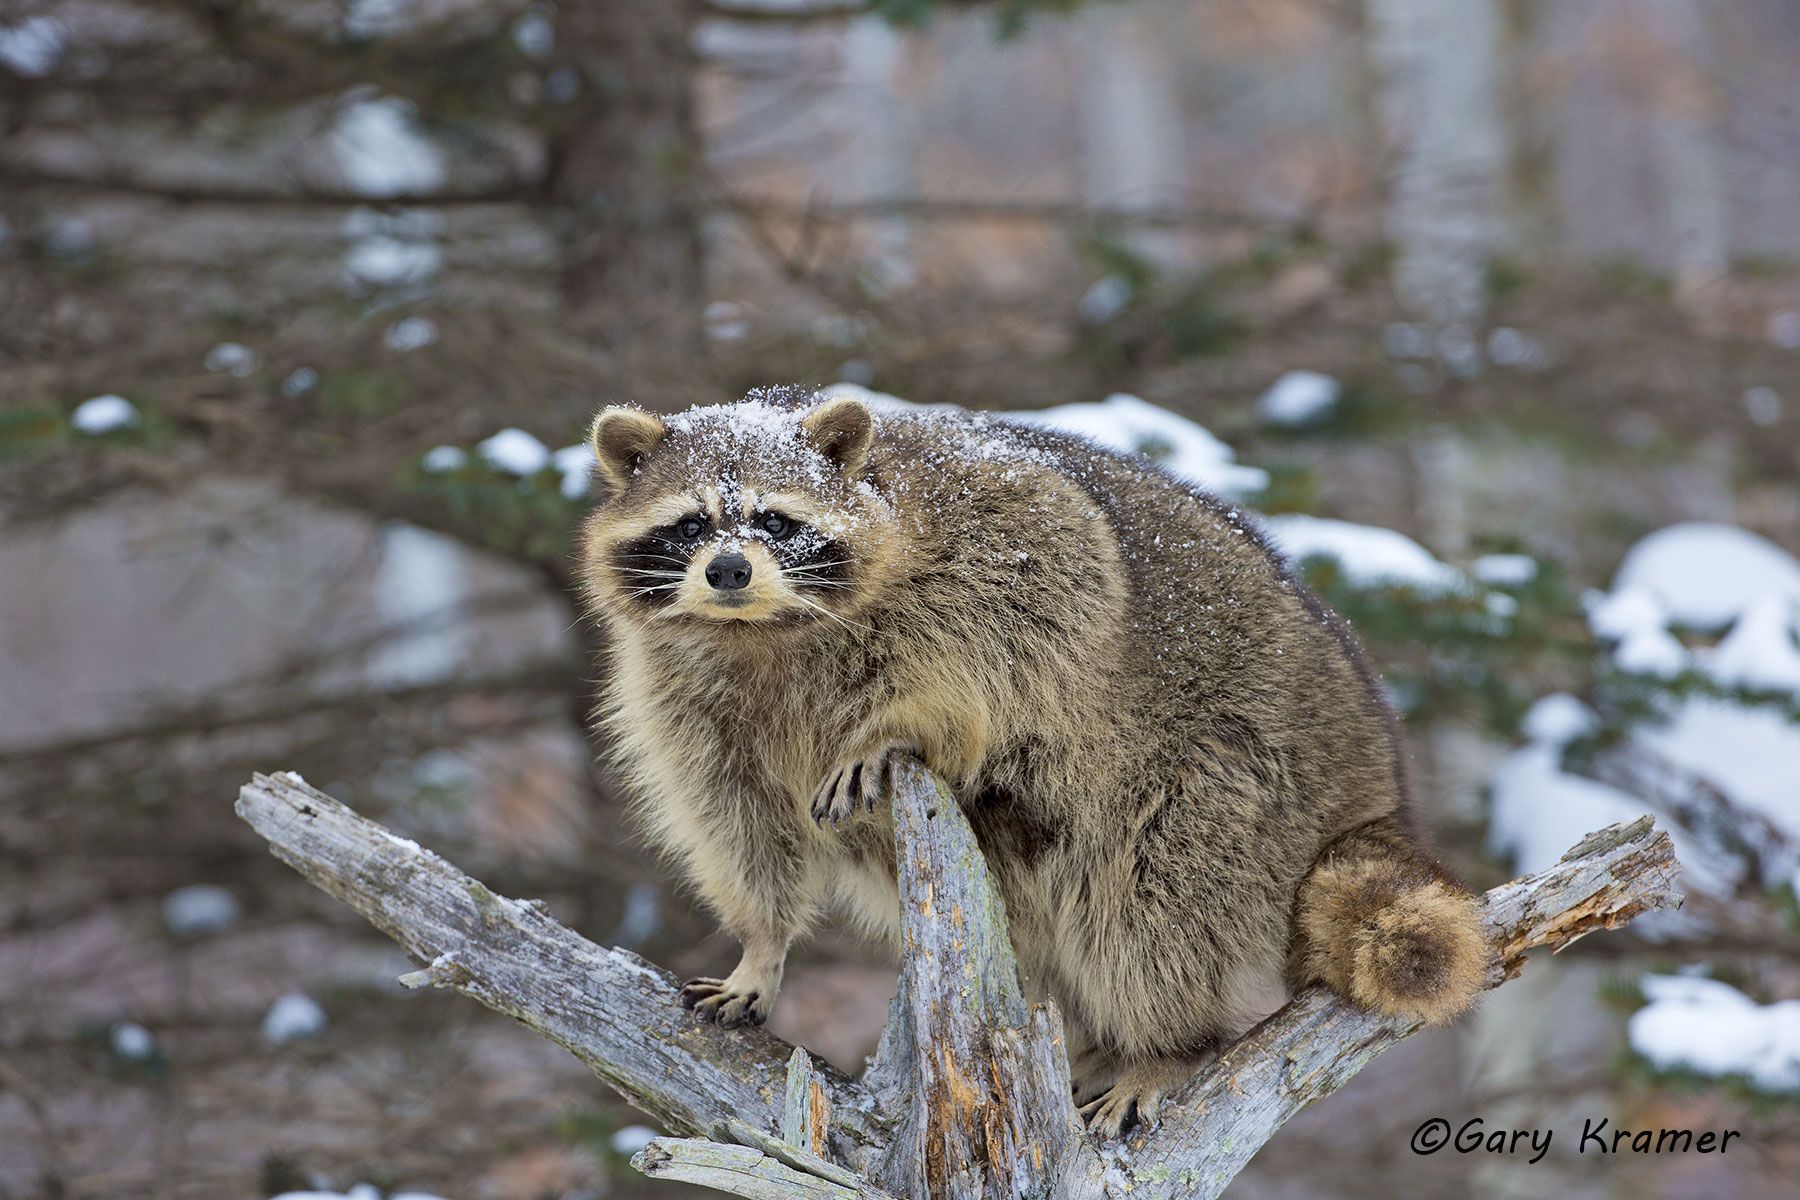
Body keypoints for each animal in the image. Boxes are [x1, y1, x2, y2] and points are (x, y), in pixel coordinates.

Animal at [579, 386, 1488, 1137]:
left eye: (773, 520)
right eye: (691, 524)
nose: (729, 570)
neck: (762, 629)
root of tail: (1375, 780)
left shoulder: (993, 523)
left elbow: (1025, 620)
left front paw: (901, 723)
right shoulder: (689, 700)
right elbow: (737, 822)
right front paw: (761, 946)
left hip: (1237, 770)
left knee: (1154, 899)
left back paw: (1166, 1043)